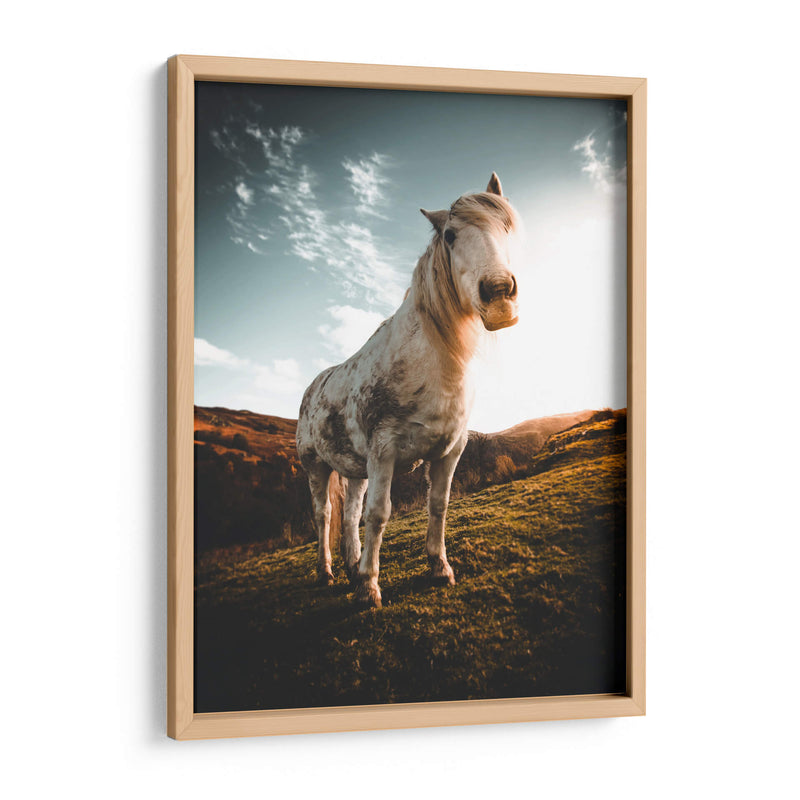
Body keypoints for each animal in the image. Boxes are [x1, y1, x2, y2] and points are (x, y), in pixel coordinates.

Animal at [296, 173, 519, 608]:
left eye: (507, 226)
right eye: (450, 235)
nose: (499, 293)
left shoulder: (450, 451)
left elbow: (438, 505)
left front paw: (439, 568)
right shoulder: (384, 452)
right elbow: (380, 514)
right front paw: (370, 588)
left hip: (355, 469)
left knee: (350, 513)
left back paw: (351, 566)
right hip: (315, 465)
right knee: (323, 515)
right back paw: (328, 571)